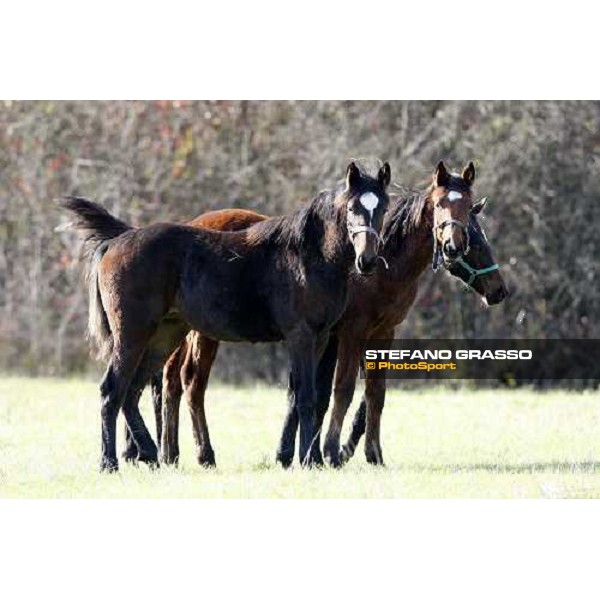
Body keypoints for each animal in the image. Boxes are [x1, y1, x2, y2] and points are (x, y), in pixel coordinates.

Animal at [58, 162, 392, 472]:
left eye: (383, 208)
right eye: (352, 207)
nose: (367, 261)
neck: (307, 256)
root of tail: (118, 240)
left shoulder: (321, 338)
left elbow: (303, 396)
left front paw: (308, 458)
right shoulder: (300, 336)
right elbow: (307, 397)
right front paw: (309, 461)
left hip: (165, 334)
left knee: (132, 390)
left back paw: (150, 455)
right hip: (132, 335)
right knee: (112, 390)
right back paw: (110, 462)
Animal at [158, 161, 506, 468]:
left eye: (470, 213)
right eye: (439, 204)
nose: (498, 291)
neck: (380, 268)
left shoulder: (380, 334)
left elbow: (372, 393)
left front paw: (368, 454)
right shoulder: (348, 333)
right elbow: (338, 390)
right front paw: (327, 452)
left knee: (172, 379)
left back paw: (169, 453)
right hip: (203, 334)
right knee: (191, 383)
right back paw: (200, 454)